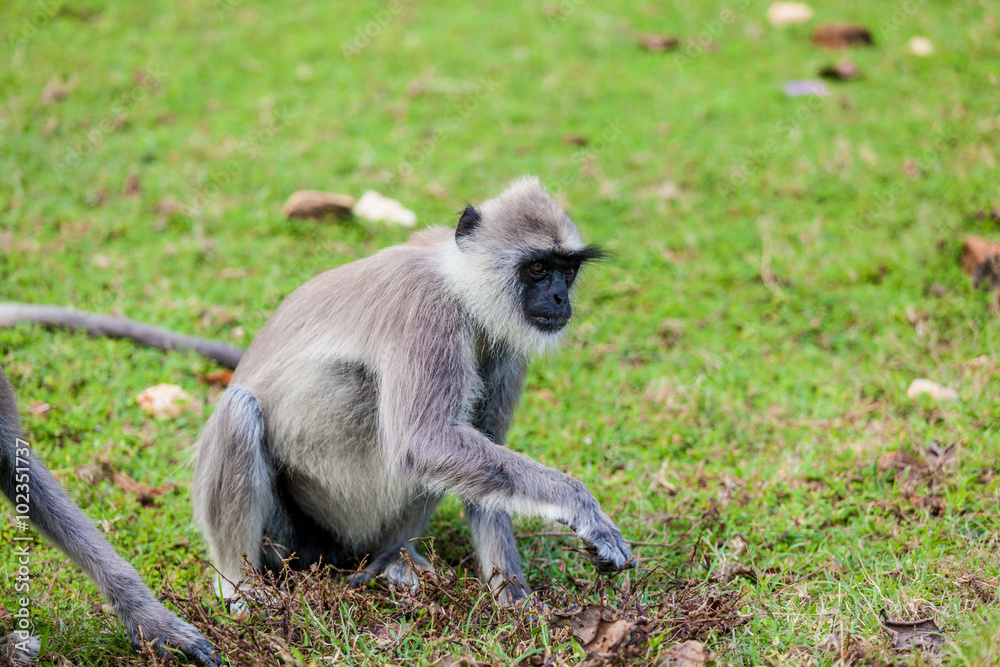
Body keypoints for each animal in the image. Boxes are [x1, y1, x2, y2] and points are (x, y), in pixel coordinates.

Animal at [190, 177, 635, 606]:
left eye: (568, 271)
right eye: (539, 268)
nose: (559, 298)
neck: (458, 287)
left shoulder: (504, 344)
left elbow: (477, 455)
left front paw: (515, 599)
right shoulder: (425, 305)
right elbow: (426, 441)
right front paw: (580, 505)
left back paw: (391, 558)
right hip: (289, 540)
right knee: (240, 408)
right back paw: (239, 584)